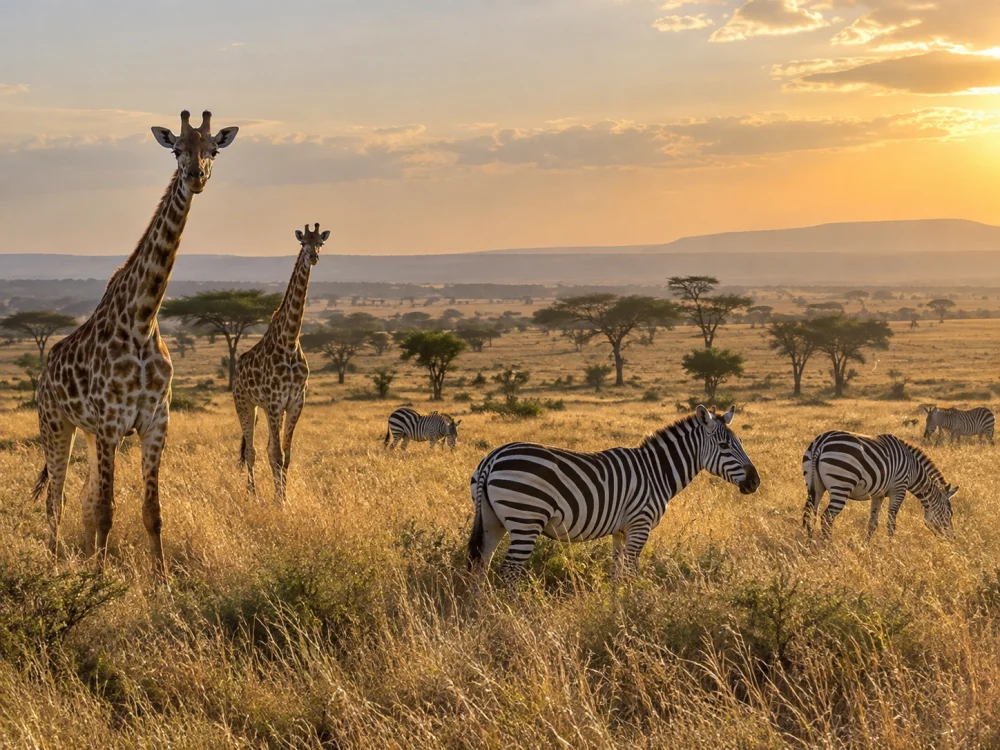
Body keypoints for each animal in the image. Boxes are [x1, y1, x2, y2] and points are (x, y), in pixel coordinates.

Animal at [32, 110, 238, 581]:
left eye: (213, 150)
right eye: (177, 149)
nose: (196, 176)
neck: (142, 321)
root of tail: (46, 369)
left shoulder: (155, 423)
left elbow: (151, 512)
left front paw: (161, 582)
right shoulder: (112, 423)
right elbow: (108, 511)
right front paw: (96, 581)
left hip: (89, 434)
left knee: (83, 500)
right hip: (56, 424)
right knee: (56, 500)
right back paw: (53, 565)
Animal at [233, 223, 330, 503]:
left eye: (320, 242)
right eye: (302, 243)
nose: (313, 257)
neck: (289, 341)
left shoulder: (295, 402)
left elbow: (285, 455)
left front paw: (283, 496)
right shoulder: (276, 401)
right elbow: (276, 454)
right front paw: (280, 501)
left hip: (264, 409)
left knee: (263, 448)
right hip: (245, 404)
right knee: (251, 450)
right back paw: (252, 494)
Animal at [467, 405, 760, 585]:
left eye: (741, 443)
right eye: (723, 446)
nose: (755, 482)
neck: (656, 471)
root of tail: (492, 459)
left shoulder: (620, 531)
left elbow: (617, 573)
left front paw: (616, 608)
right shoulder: (640, 525)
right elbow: (630, 572)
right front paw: (634, 610)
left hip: (493, 521)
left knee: (482, 565)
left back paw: (482, 612)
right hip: (525, 519)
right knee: (509, 572)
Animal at [802, 430, 957, 540]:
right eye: (949, 514)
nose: (952, 539)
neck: (913, 469)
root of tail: (821, 442)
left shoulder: (878, 494)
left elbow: (873, 523)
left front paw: (866, 546)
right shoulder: (899, 489)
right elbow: (891, 522)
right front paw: (891, 547)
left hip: (815, 486)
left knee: (810, 515)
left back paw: (809, 545)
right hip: (842, 484)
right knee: (826, 518)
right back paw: (829, 546)